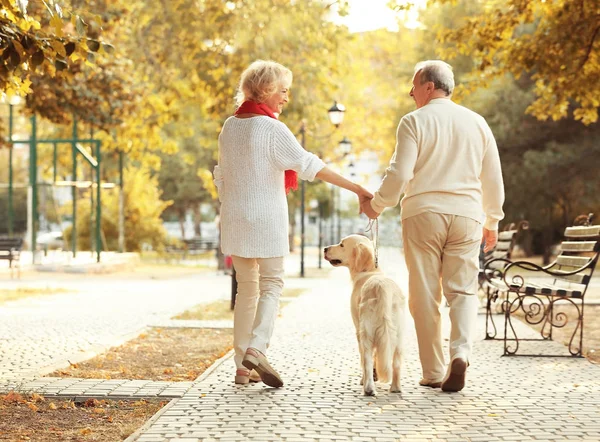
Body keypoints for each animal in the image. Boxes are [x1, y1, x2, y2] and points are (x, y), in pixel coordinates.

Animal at [326, 237, 406, 396]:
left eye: (342, 244)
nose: (325, 248)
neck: (370, 271)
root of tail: (383, 288)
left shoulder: (358, 330)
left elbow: (364, 359)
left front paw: (365, 380)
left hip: (366, 332)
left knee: (367, 360)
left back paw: (368, 388)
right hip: (399, 335)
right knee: (396, 363)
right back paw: (395, 388)